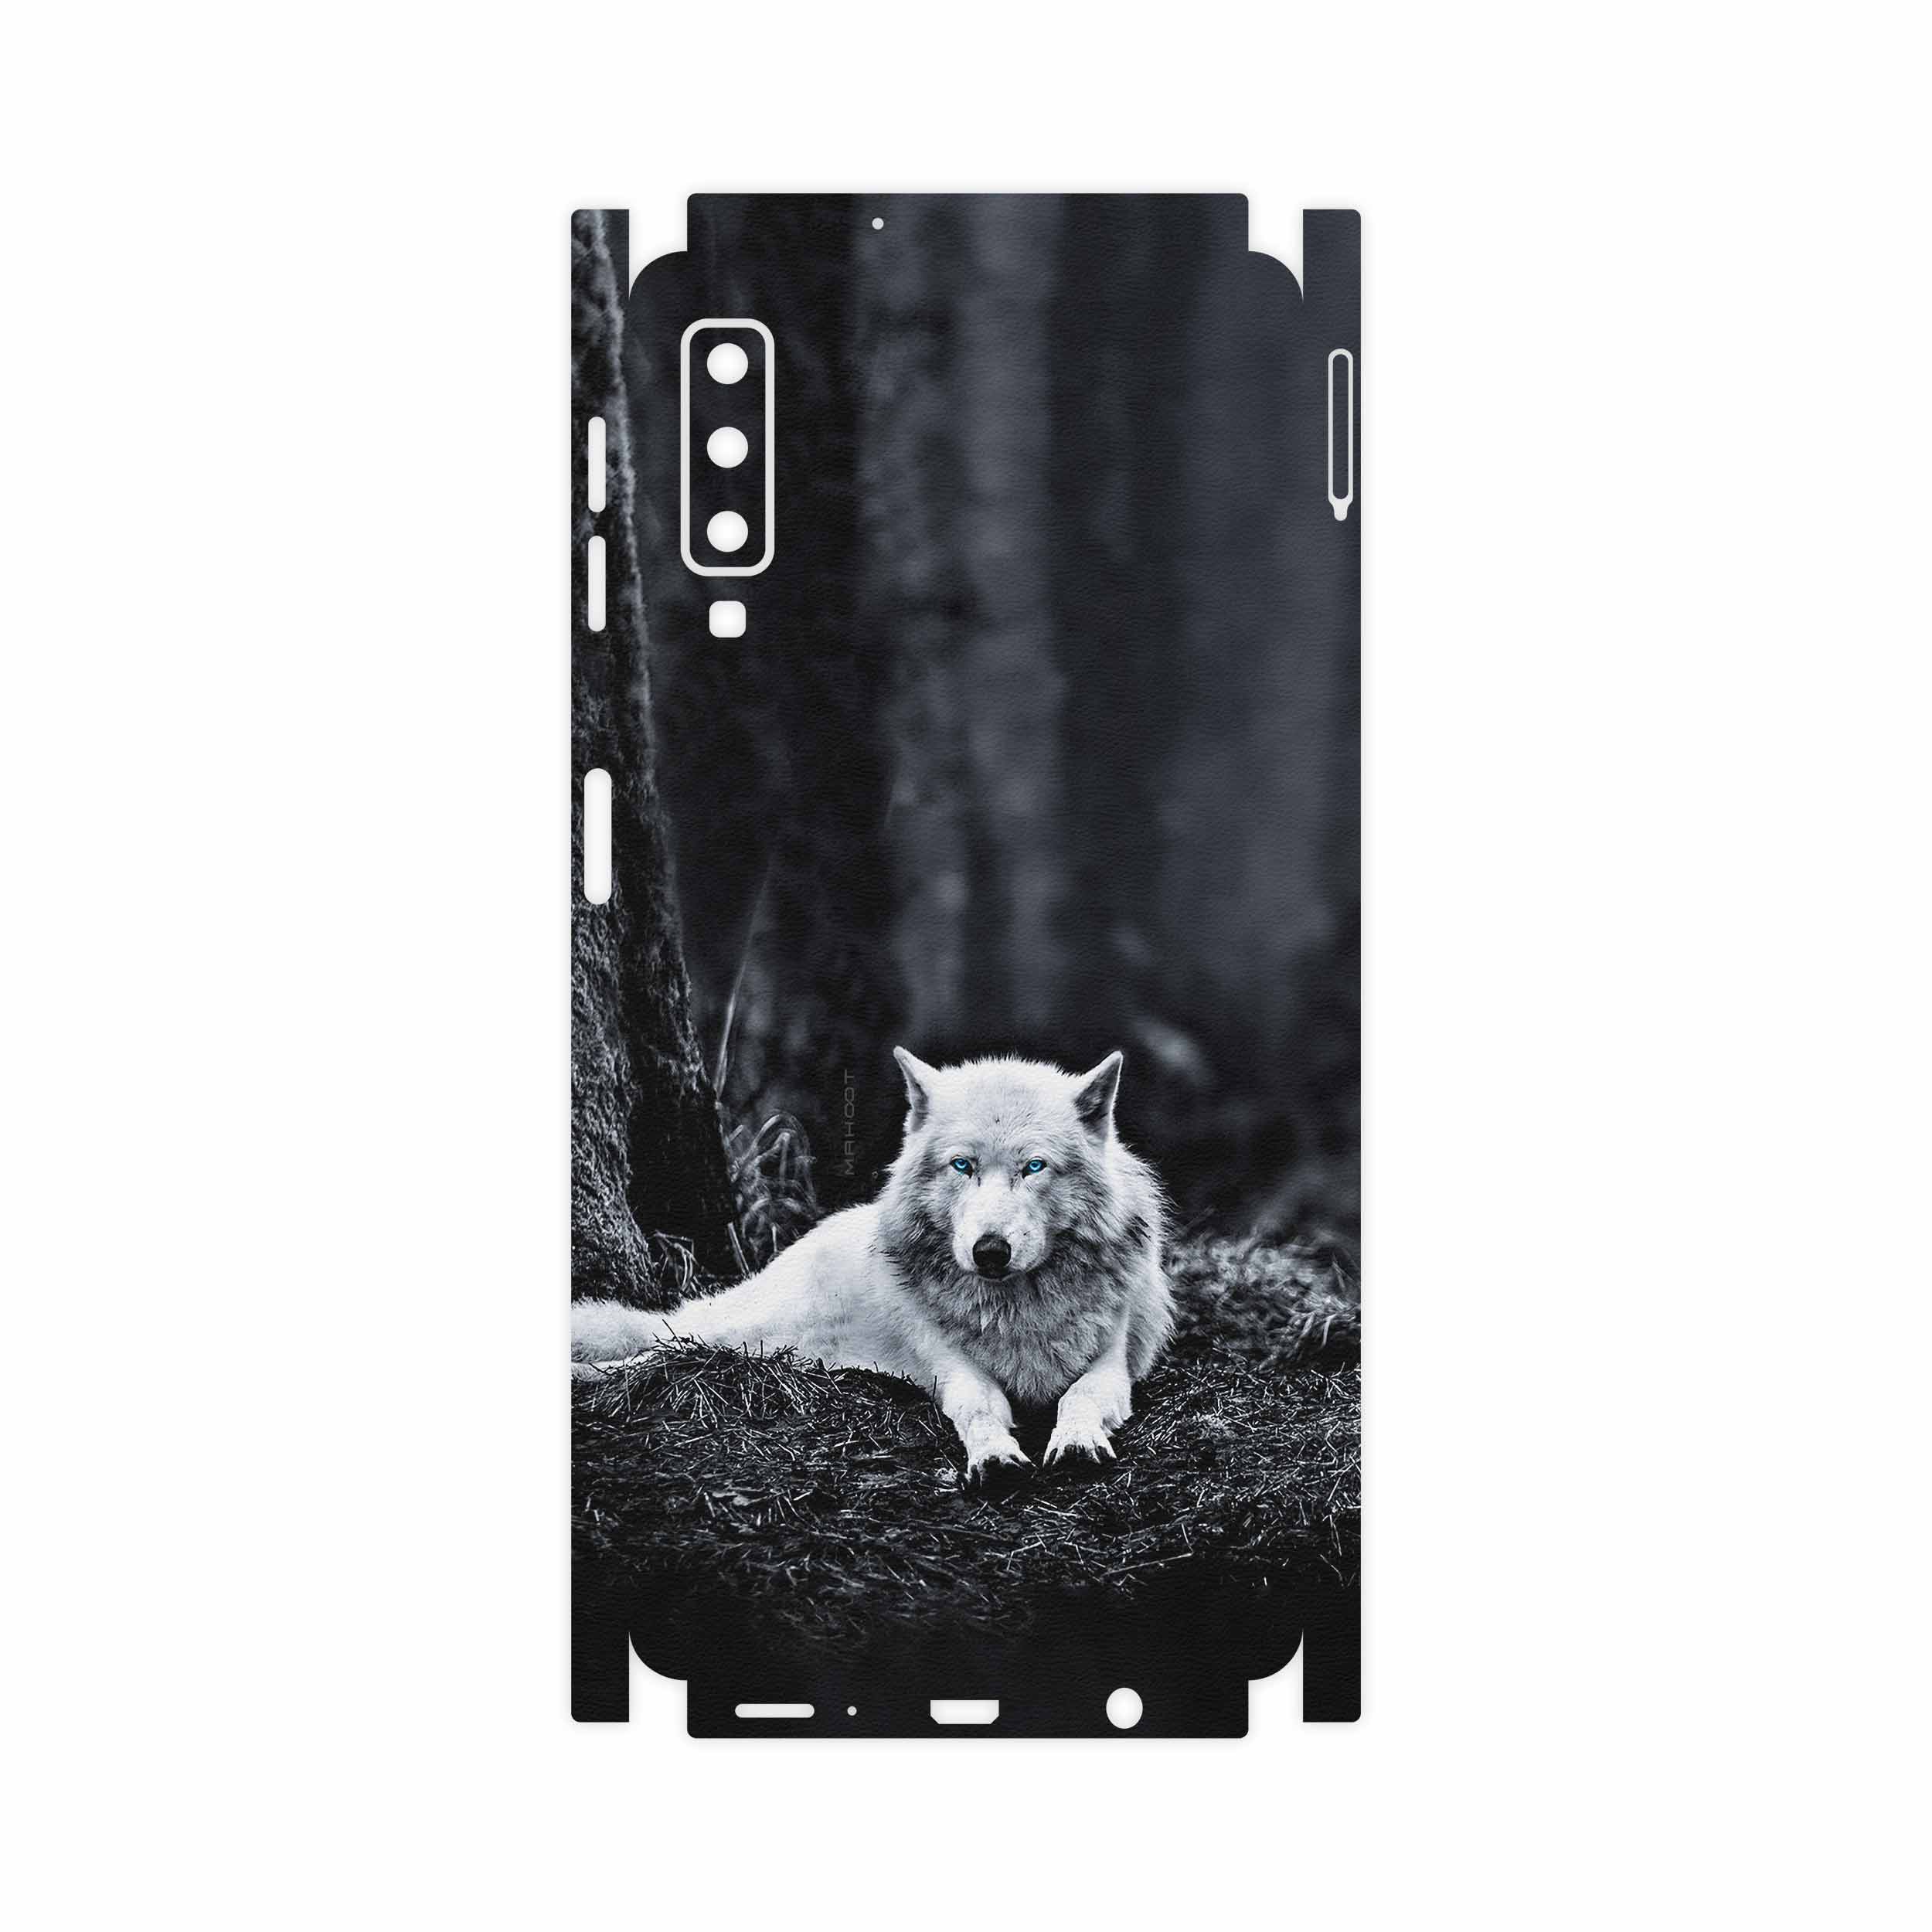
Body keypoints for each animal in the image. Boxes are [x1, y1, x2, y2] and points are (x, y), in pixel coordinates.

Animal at [571, 1048, 1173, 1493]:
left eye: (1034, 1167)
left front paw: (1075, 1443)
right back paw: (589, 1372)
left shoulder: (1112, 1365)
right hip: (740, 1332)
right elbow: (979, 1406)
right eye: (962, 1165)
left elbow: (1080, 1397)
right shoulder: (952, 1368)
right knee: (659, 1346)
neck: (1016, 1310)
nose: (990, 1251)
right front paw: (995, 1456)